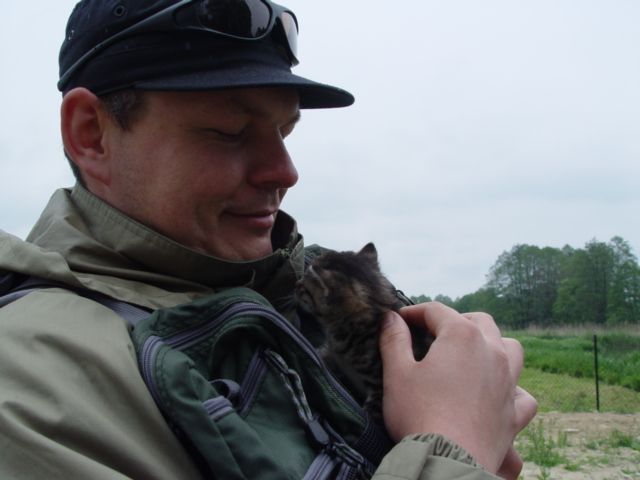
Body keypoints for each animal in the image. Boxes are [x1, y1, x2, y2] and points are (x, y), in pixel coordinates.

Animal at [295, 242, 430, 425]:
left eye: (304, 288)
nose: (296, 283)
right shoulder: (334, 354)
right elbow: (319, 356)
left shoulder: (380, 389)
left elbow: (372, 418)